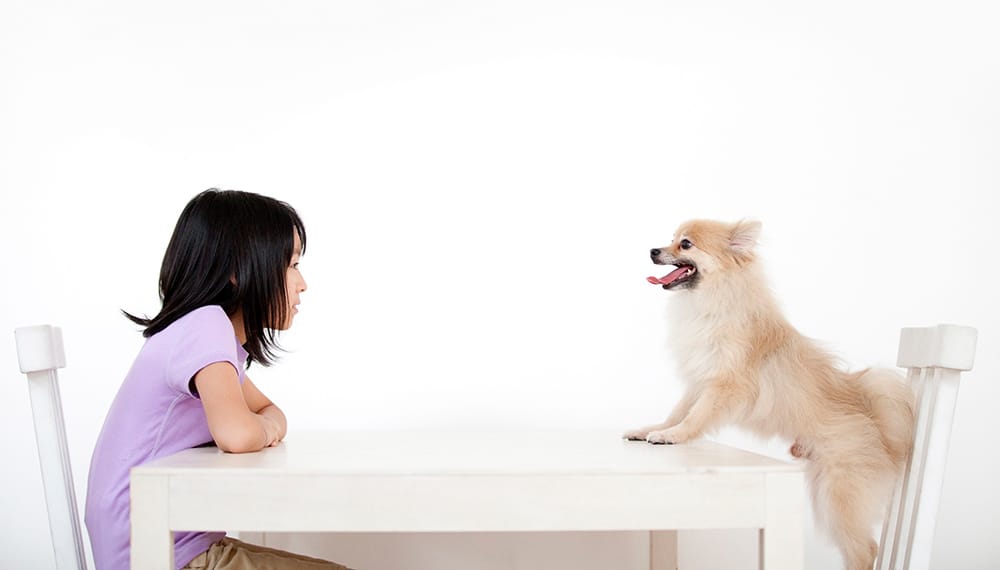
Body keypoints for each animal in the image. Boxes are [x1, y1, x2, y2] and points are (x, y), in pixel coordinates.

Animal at [624, 219, 916, 568]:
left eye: (686, 244)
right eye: (670, 239)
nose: (653, 250)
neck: (715, 298)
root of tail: (875, 418)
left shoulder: (725, 384)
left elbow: (696, 416)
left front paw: (673, 436)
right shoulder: (700, 381)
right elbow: (678, 411)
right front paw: (652, 429)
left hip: (839, 495)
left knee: (865, 549)